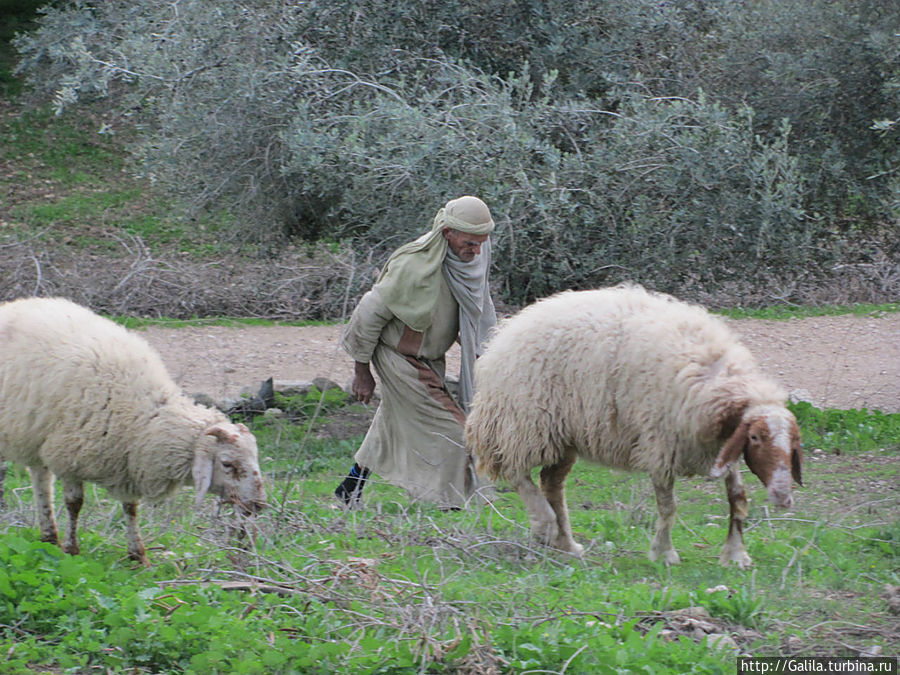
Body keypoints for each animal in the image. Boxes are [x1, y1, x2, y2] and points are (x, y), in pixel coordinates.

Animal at [0, 298, 268, 568]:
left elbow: (131, 508)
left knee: (41, 481)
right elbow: (75, 504)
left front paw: (138, 556)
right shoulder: (69, 455)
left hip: (34, 435)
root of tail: (14, 304)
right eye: (227, 464)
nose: (258, 505)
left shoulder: (125, 463)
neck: (147, 415)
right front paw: (72, 550)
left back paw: (48, 537)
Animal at [464, 282, 800, 568]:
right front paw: (664, 552)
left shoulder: (718, 447)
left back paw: (567, 543)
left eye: (795, 444)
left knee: (551, 483)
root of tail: (508, 330)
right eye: (756, 437)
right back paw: (544, 524)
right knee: (515, 469)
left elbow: (737, 497)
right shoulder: (662, 446)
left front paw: (736, 554)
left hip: (562, 433)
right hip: (525, 421)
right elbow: (668, 506)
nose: (784, 496)